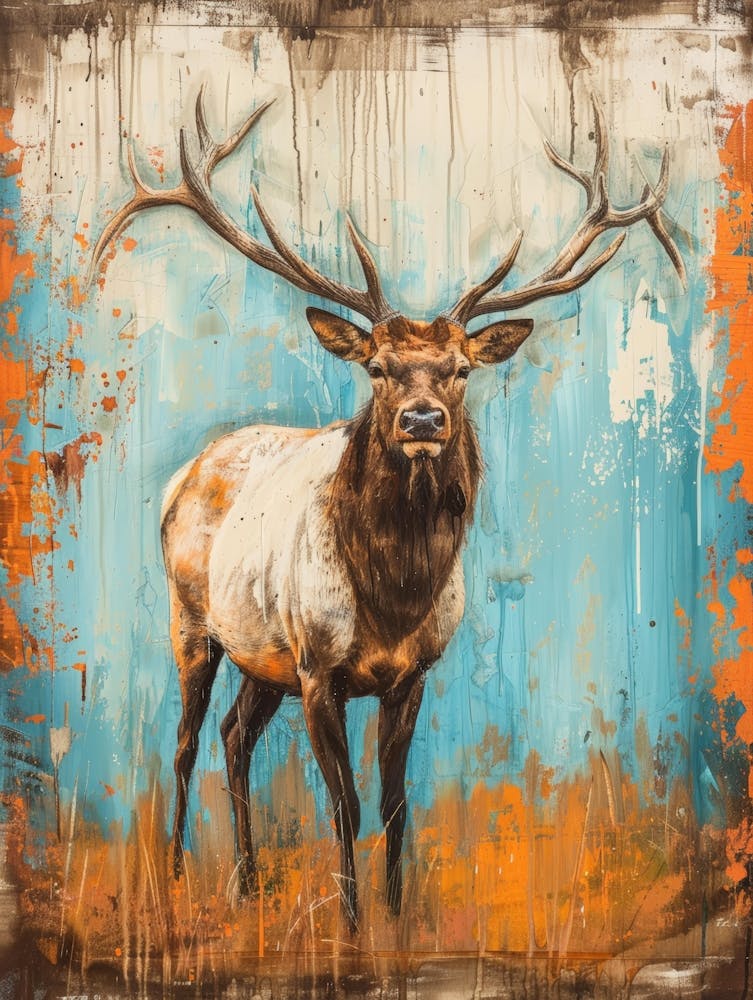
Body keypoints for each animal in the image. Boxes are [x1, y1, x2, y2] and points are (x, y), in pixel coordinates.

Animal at [91, 87, 684, 934]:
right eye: (375, 367)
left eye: (461, 369)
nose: (422, 419)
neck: (392, 596)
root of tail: (182, 472)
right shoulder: (318, 668)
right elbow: (342, 807)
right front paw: (349, 930)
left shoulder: (411, 675)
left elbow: (397, 806)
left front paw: (398, 920)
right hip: (190, 619)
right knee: (183, 743)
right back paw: (175, 875)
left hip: (261, 655)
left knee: (235, 736)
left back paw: (247, 882)